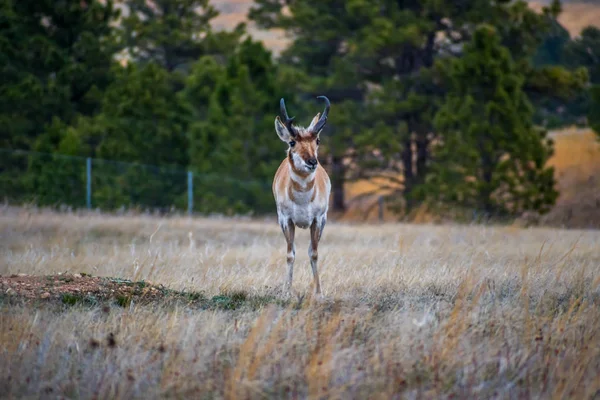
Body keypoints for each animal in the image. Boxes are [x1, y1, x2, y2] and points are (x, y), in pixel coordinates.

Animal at [274, 95, 332, 296]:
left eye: (318, 141)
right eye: (292, 142)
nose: (312, 162)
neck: (302, 199)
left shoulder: (318, 219)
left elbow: (313, 253)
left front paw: (319, 293)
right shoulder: (286, 220)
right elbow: (290, 254)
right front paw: (287, 291)